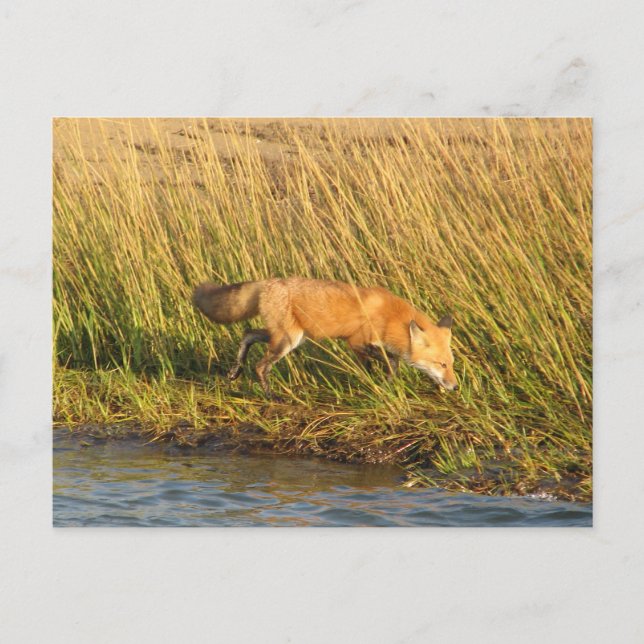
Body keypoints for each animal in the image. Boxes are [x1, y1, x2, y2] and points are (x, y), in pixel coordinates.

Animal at [193, 277, 458, 398]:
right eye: (442, 364)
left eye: (452, 364)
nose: (455, 386)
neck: (391, 317)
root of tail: (268, 282)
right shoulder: (357, 341)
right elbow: (392, 361)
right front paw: (385, 383)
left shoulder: (360, 348)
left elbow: (374, 366)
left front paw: (374, 384)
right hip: (286, 341)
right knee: (260, 366)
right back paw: (271, 396)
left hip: (290, 337)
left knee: (247, 333)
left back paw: (236, 370)